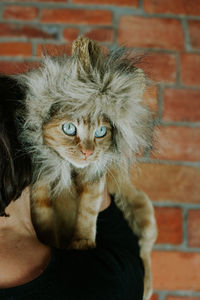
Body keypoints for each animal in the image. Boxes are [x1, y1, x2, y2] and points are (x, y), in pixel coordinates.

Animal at [15, 36, 158, 298]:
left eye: (101, 131)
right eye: (69, 128)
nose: (88, 152)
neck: (69, 170)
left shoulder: (94, 177)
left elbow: (87, 210)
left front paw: (82, 241)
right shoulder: (41, 180)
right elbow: (43, 216)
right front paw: (53, 242)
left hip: (141, 210)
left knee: (144, 251)